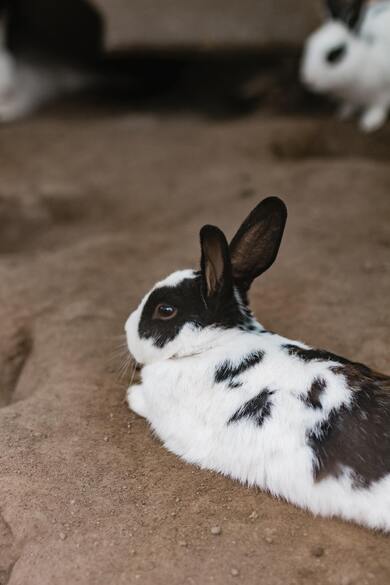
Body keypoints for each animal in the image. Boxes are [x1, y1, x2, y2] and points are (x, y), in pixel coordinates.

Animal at [302, 0, 390, 131]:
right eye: (310, 44)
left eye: (335, 54)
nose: (308, 81)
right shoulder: (351, 97)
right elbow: (350, 105)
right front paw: (343, 113)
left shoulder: (383, 92)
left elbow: (377, 107)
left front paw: (368, 123)